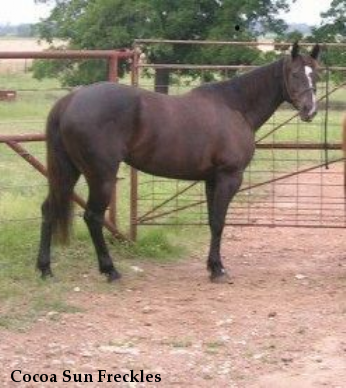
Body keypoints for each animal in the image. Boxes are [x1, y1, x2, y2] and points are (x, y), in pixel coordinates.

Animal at [36, 42, 320, 284]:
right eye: (295, 74)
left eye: (315, 75)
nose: (310, 110)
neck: (234, 106)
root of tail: (70, 101)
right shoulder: (229, 177)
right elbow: (219, 222)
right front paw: (218, 270)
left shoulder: (212, 180)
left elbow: (212, 221)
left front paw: (213, 266)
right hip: (101, 176)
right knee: (93, 217)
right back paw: (110, 271)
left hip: (68, 171)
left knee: (49, 209)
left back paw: (45, 269)